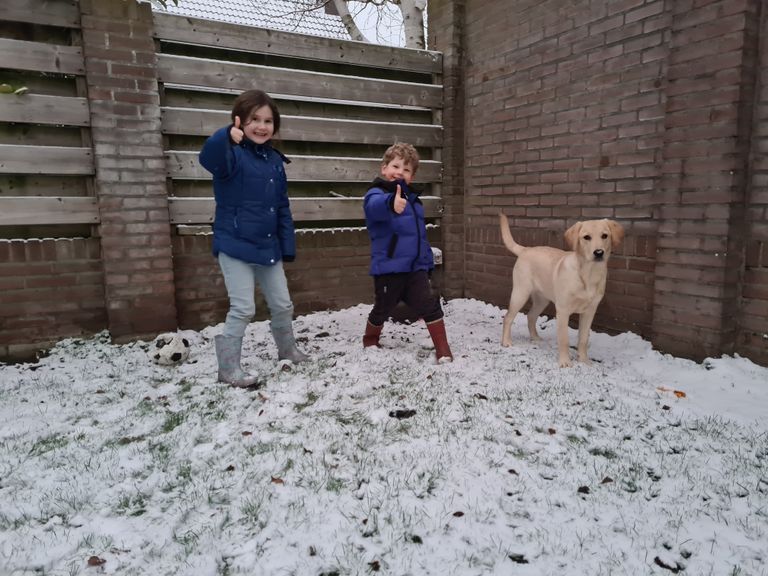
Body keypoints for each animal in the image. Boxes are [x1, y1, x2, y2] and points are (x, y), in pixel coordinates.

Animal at [498, 213, 624, 368]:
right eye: (586, 237)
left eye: (605, 236)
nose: (599, 252)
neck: (588, 274)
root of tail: (526, 249)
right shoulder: (563, 310)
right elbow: (564, 339)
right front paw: (565, 362)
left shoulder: (589, 311)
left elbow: (583, 339)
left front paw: (583, 360)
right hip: (520, 293)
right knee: (508, 317)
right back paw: (506, 341)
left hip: (542, 300)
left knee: (531, 316)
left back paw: (535, 337)